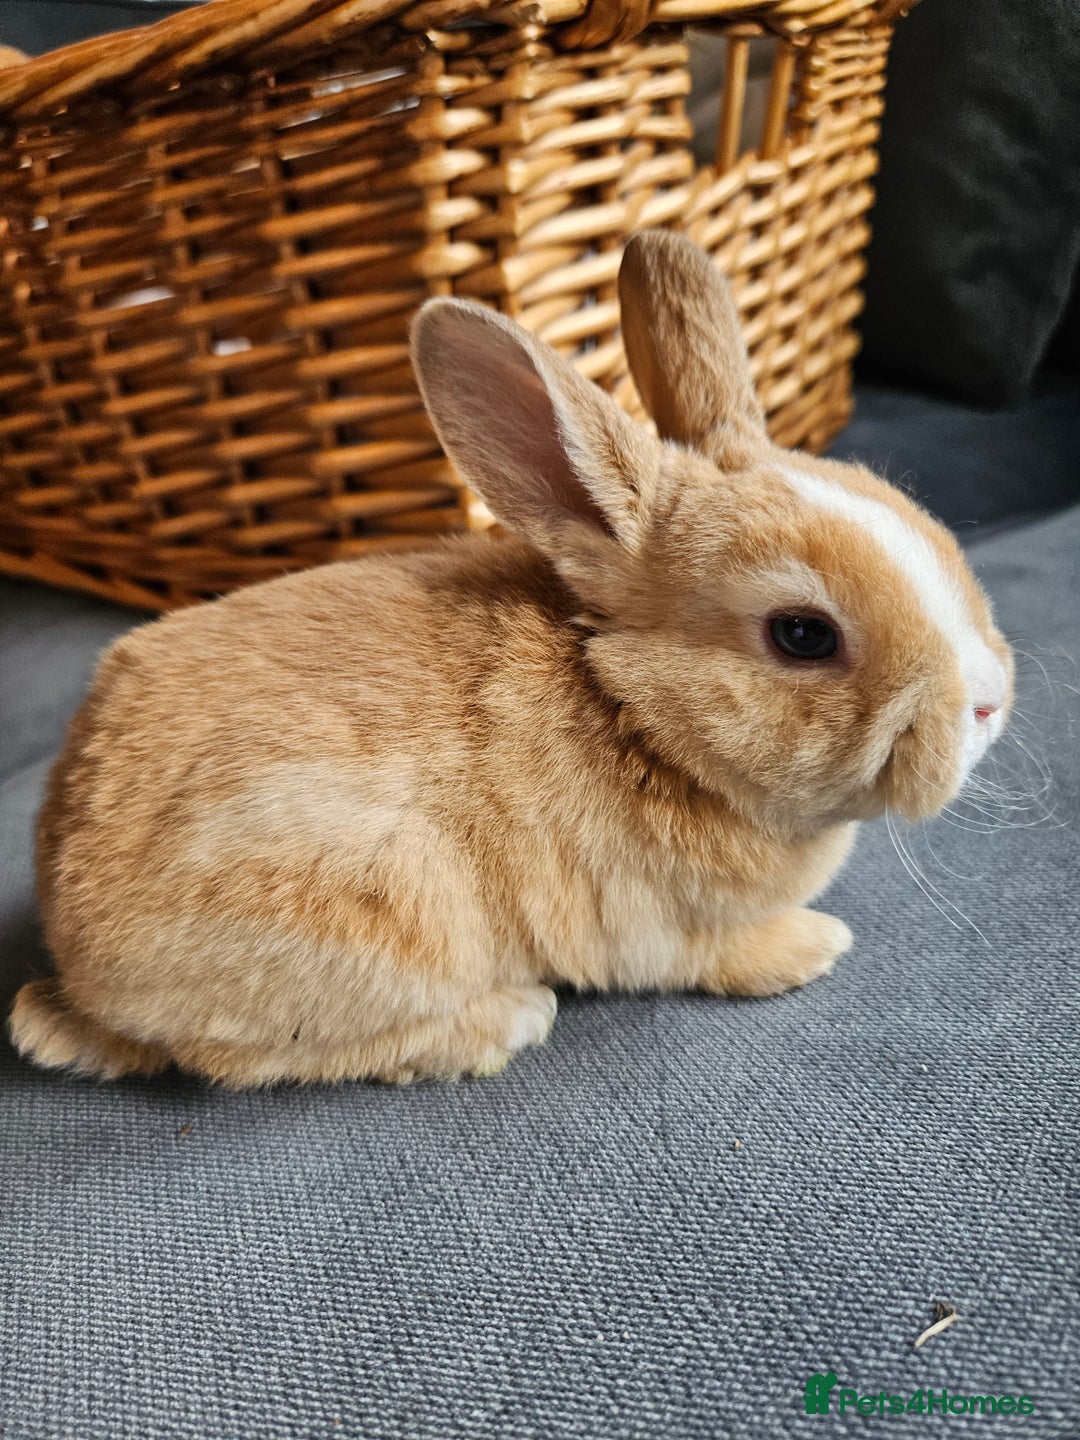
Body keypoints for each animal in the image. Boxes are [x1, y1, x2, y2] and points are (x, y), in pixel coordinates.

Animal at [9, 230, 1013, 1088]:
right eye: (803, 635)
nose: (993, 702)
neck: (637, 714)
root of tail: (73, 958)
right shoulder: (664, 929)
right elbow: (721, 958)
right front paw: (816, 947)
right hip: (383, 922)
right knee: (239, 1058)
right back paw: (510, 1018)